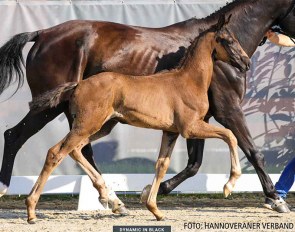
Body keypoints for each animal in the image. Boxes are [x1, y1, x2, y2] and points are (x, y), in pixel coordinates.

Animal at [28, 15, 250, 222]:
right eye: (228, 40)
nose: (246, 62)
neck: (188, 81)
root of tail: (78, 85)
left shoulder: (171, 132)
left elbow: (161, 165)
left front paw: (155, 210)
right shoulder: (191, 127)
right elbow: (230, 135)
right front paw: (229, 185)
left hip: (100, 127)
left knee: (74, 150)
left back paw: (107, 197)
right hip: (87, 125)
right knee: (56, 153)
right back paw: (31, 210)